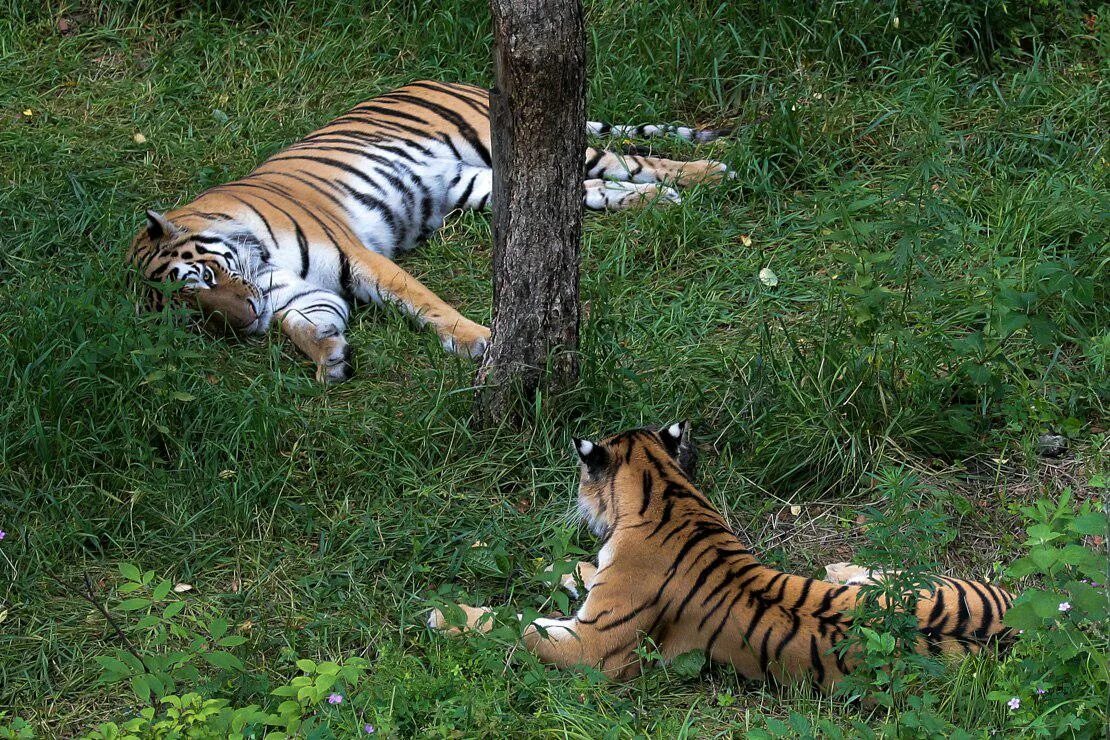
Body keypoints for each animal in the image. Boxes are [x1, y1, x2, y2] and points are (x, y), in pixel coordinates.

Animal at [129, 79, 732, 381]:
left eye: (201, 281)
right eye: (197, 317)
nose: (246, 321)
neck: (257, 262)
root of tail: (450, 77)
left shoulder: (356, 255)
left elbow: (424, 302)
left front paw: (480, 341)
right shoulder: (302, 296)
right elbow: (306, 325)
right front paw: (330, 358)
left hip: (512, 140)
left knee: (628, 158)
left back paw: (709, 173)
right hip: (482, 183)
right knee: (598, 187)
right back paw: (660, 199)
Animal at [428, 421, 1016, 687]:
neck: (664, 490)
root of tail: (1016, 630)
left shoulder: (594, 647)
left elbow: (519, 626)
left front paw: (443, 614)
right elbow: (581, 572)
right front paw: (552, 565)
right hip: (944, 587)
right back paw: (844, 569)